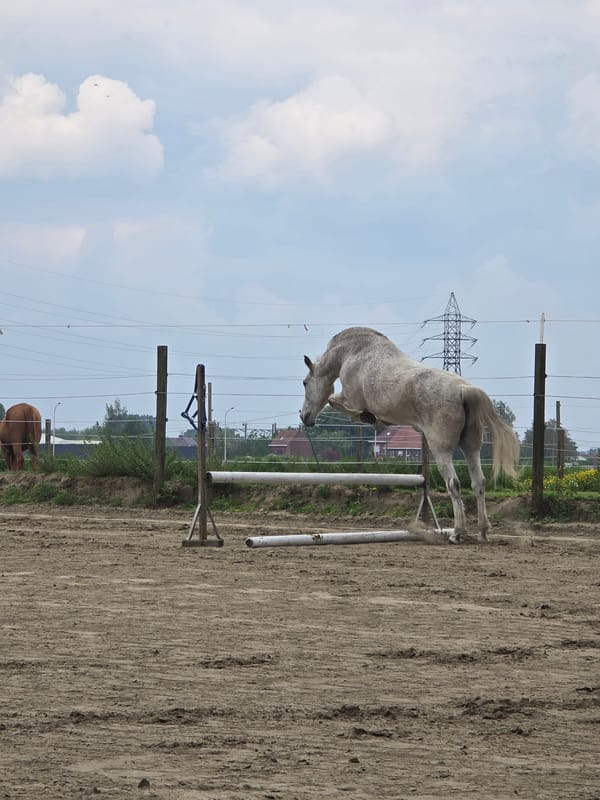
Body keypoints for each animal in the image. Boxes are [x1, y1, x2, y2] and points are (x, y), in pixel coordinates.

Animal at [300, 327, 520, 543]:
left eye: (304, 383)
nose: (305, 417)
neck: (351, 353)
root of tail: (464, 389)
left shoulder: (350, 399)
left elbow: (333, 401)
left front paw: (370, 417)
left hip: (441, 449)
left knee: (454, 484)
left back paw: (457, 533)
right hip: (471, 448)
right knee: (478, 483)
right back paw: (482, 532)